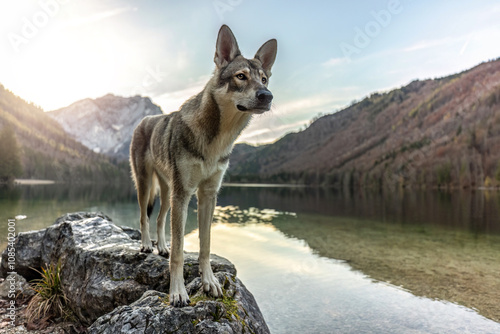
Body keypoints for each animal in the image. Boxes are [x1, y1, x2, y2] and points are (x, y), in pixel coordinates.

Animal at [129, 24, 278, 306]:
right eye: (241, 76)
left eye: (264, 79)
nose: (267, 96)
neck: (218, 138)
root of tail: (144, 119)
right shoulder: (184, 194)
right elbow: (178, 252)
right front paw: (177, 292)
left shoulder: (207, 194)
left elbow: (205, 244)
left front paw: (209, 282)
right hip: (147, 185)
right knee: (144, 217)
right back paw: (146, 245)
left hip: (168, 192)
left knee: (160, 220)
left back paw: (160, 246)